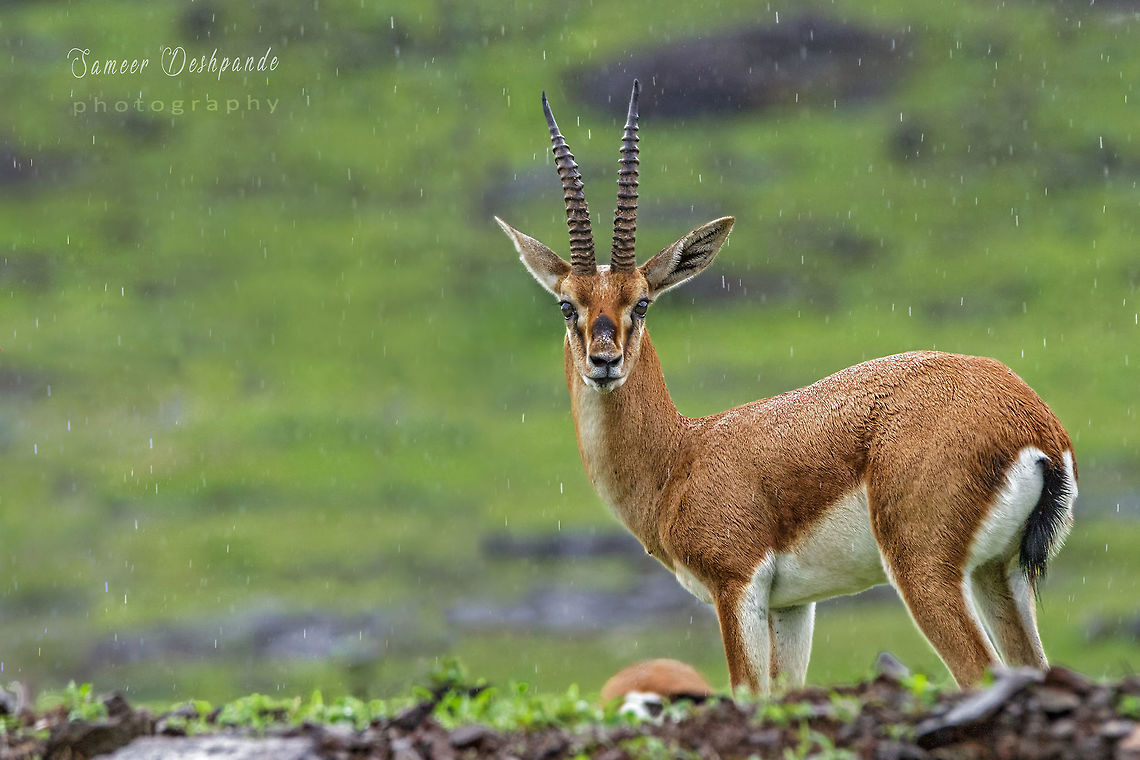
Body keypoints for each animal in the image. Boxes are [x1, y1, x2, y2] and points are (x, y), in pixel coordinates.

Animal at [495, 81, 1077, 694]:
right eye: (567, 305)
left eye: (643, 302)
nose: (603, 363)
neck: (681, 456)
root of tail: (1033, 422)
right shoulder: (792, 606)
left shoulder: (736, 586)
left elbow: (747, 692)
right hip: (999, 574)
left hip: (925, 573)